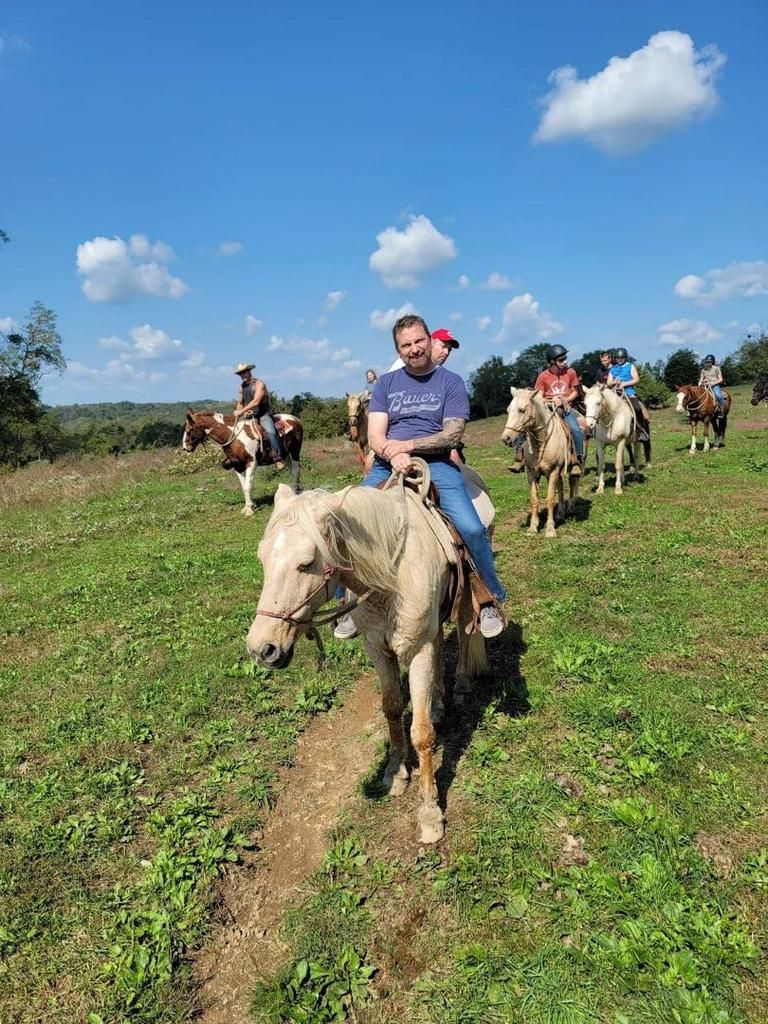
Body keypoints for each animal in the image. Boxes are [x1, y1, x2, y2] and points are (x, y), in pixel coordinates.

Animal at [246, 480, 489, 844]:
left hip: (461, 604)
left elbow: (421, 733)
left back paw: (459, 685)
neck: (390, 579)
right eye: (262, 559)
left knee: (462, 630)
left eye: (306, 563)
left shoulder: (417, 652)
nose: (262, 649)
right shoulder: (377, 649)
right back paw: (437, 701)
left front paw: (430, 813)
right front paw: (396, 773)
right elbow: (392, 708)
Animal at [501, 387, 579, 538]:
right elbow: (534, 499)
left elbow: (549, 499)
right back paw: (560, 513)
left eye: (522, 410)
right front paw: (532, 527)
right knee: (561, 486)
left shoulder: (554, 470)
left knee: (573, 482)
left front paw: (550, 529)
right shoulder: (532, 473)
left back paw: (572, 507)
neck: (541, 443)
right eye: (508, 410)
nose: (506, 438)